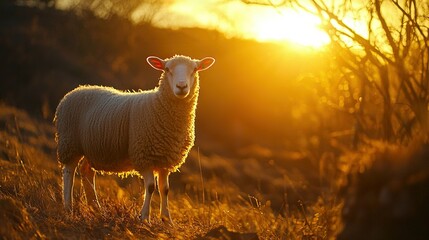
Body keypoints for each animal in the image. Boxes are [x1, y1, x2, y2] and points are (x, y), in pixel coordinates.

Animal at [53, 54, 214, 223]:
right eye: (167, 69)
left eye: (195, 69)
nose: (181, 86)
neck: (158, 106)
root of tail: (78, 89)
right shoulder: (144, 156)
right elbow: (150, 187)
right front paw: (144, 217)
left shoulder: (165, 160)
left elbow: (165, 189)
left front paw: (167, 219)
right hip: (69, 143)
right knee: (68, 172)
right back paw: (68, 208)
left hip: (92, 149)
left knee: (86, 171)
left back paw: (95, 208)